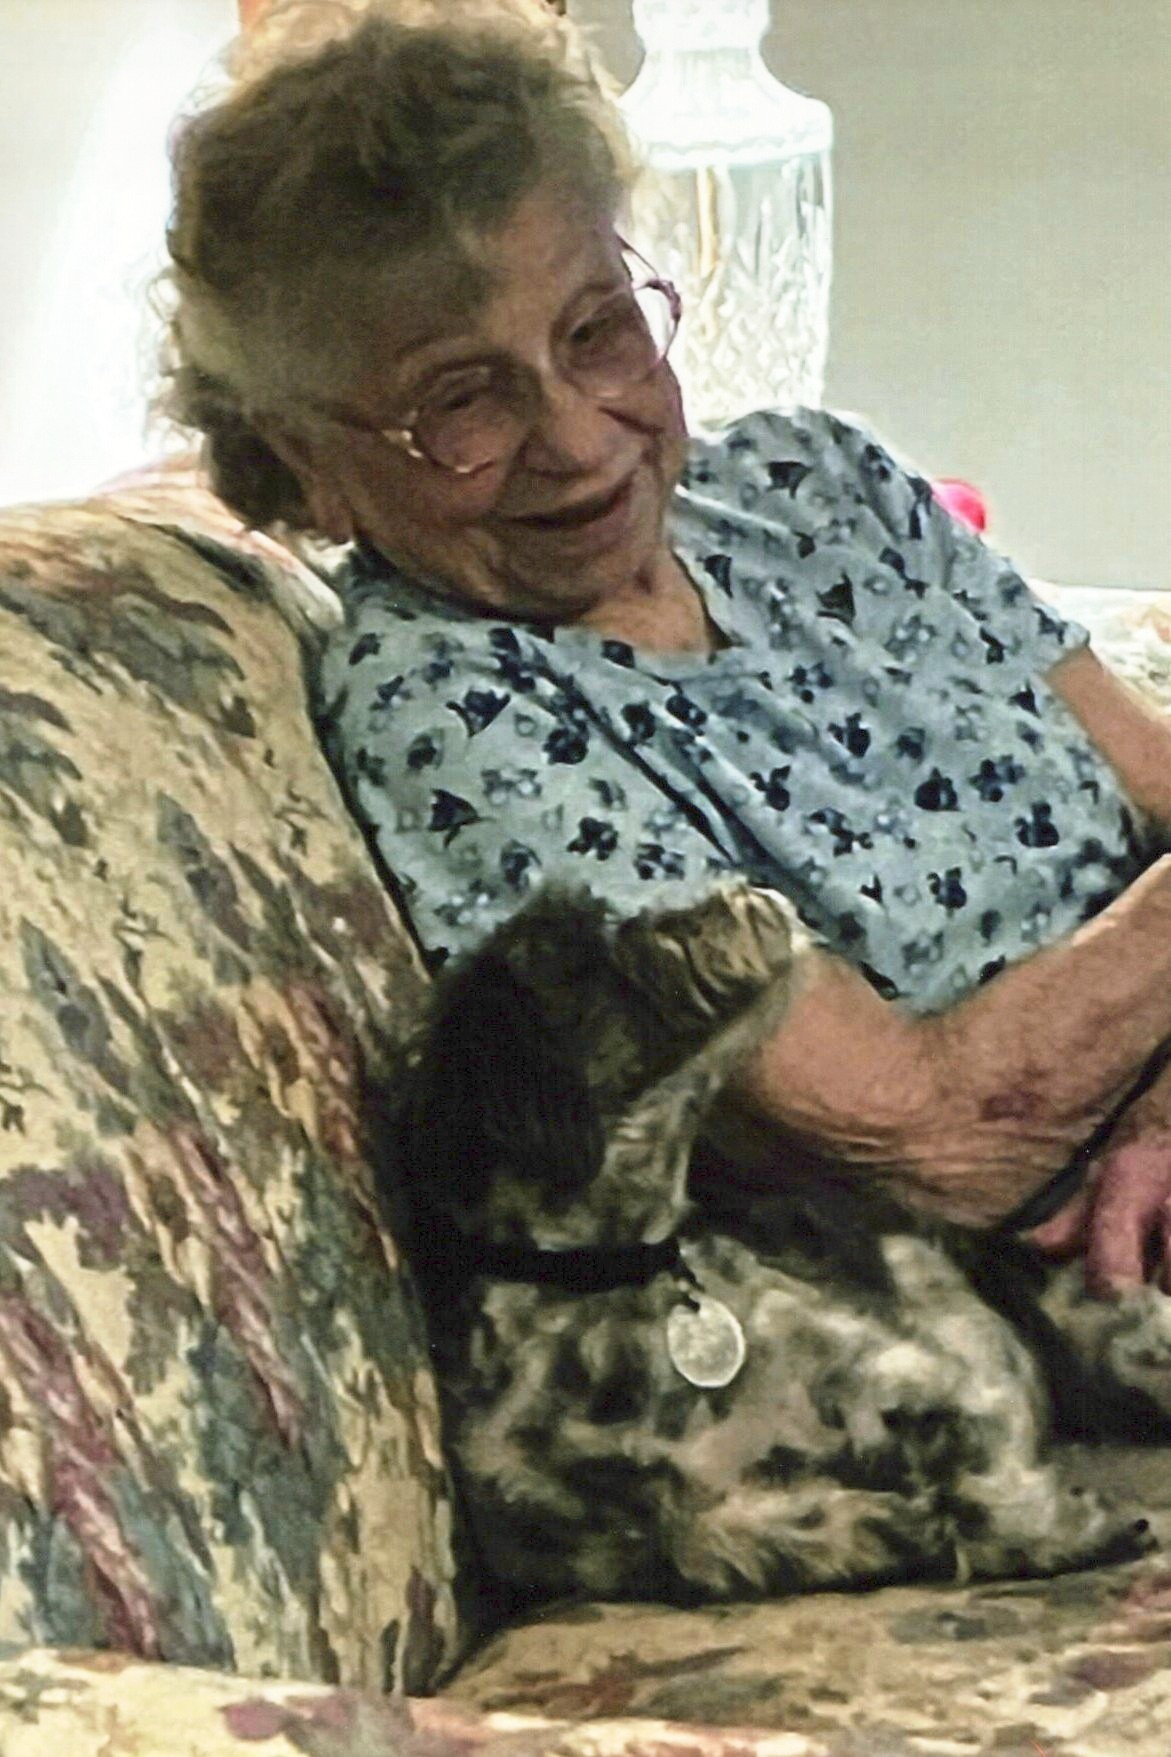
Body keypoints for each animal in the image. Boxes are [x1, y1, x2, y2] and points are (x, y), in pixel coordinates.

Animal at [391, 882, 1171, 1609]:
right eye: (591, 954)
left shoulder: (921, 1376)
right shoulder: (605, 1534)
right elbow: (736, 1537)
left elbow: (972, 1468)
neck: (611, 1282)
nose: (742, 890)